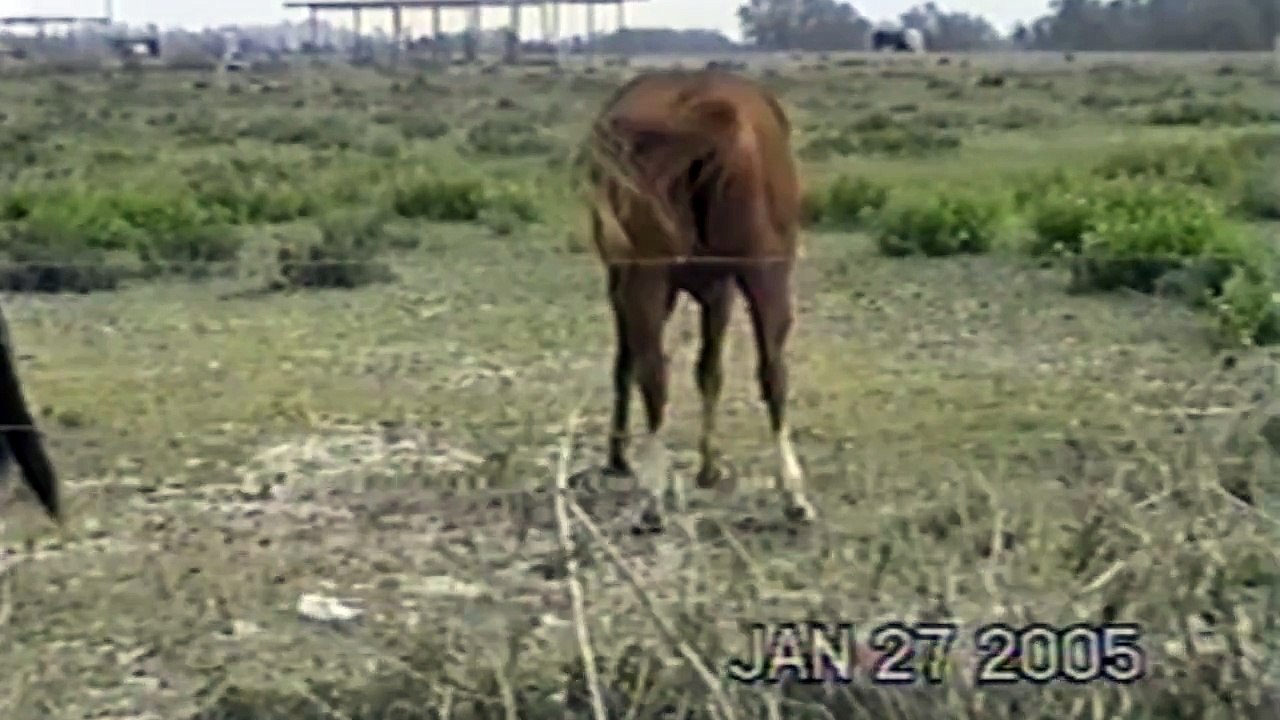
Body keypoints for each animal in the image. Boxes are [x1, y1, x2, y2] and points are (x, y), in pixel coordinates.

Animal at [581, 68, 815, 531]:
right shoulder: (719, 287)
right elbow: (710, 370)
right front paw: (707, 467)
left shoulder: (635, 281)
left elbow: (639, 364)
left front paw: (620, 456)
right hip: (766, 272)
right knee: (773, 372)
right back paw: (793, 495)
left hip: (647, 279)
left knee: (651, 372)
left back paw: (652, 495)